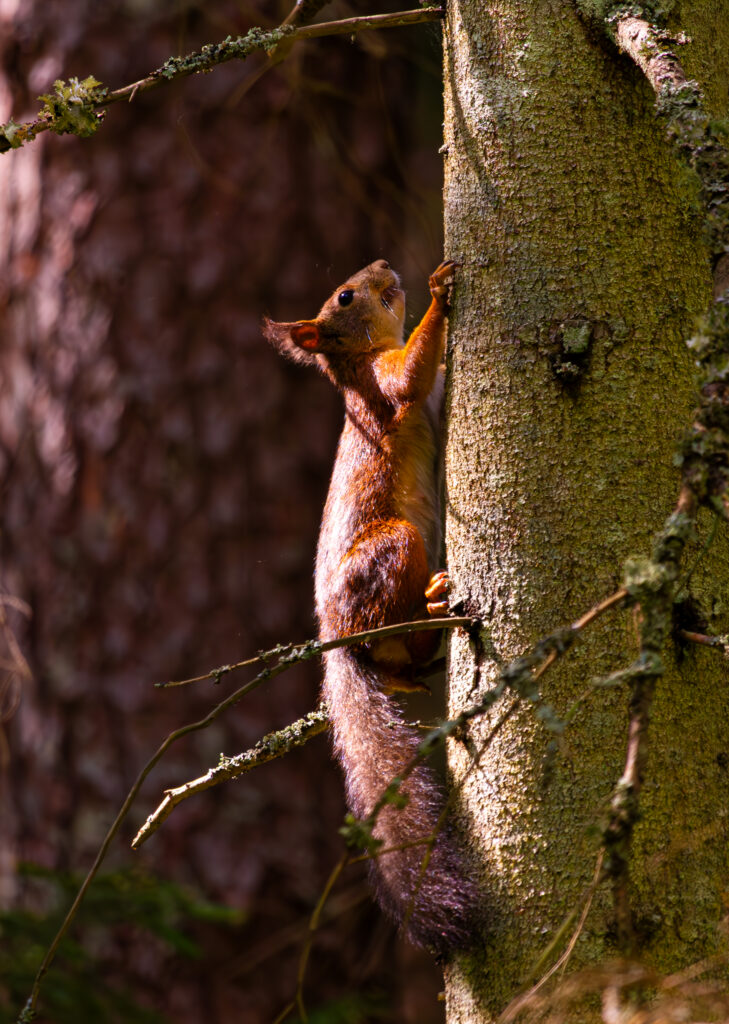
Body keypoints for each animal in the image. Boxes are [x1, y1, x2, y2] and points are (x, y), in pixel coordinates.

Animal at [263, 259, 475, 953]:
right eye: (345, 295)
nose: (385, 265)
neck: (355, 366)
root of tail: (337, 641)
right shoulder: (383, 387)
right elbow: (408, 378)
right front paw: (438, 288)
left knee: (396, 666)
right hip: (391, 550)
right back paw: (433, 608)